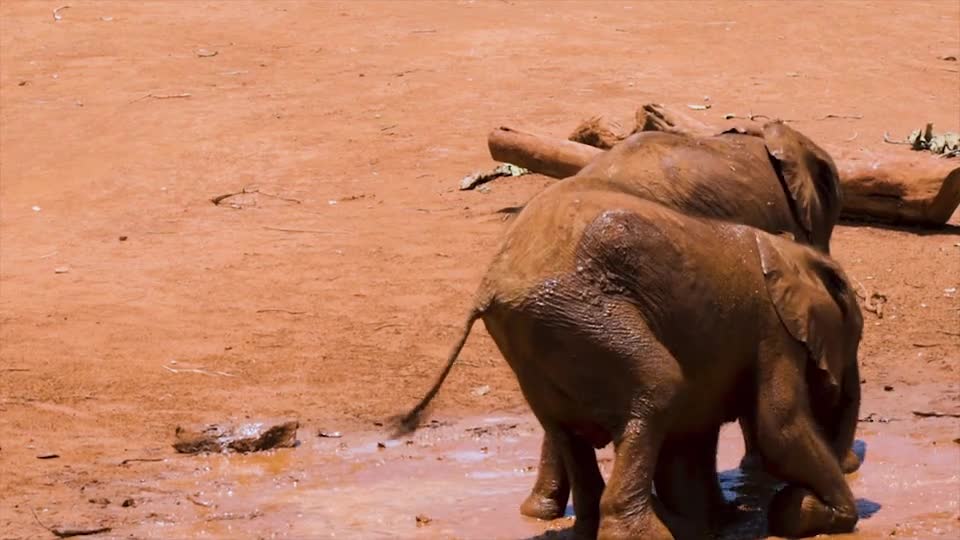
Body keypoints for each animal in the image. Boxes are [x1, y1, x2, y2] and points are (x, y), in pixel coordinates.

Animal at [398, 185, 864, 536]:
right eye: (855, 335)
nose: (852, 466)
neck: (791, 253)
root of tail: (490, 285)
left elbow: (692, 439)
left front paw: (732, 520)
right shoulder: (773, 330)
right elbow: (778, 428)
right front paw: (817, 513)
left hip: (541, 338)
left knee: (565, 428)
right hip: (582, 316)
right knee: (661, 386)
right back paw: (645, 534)